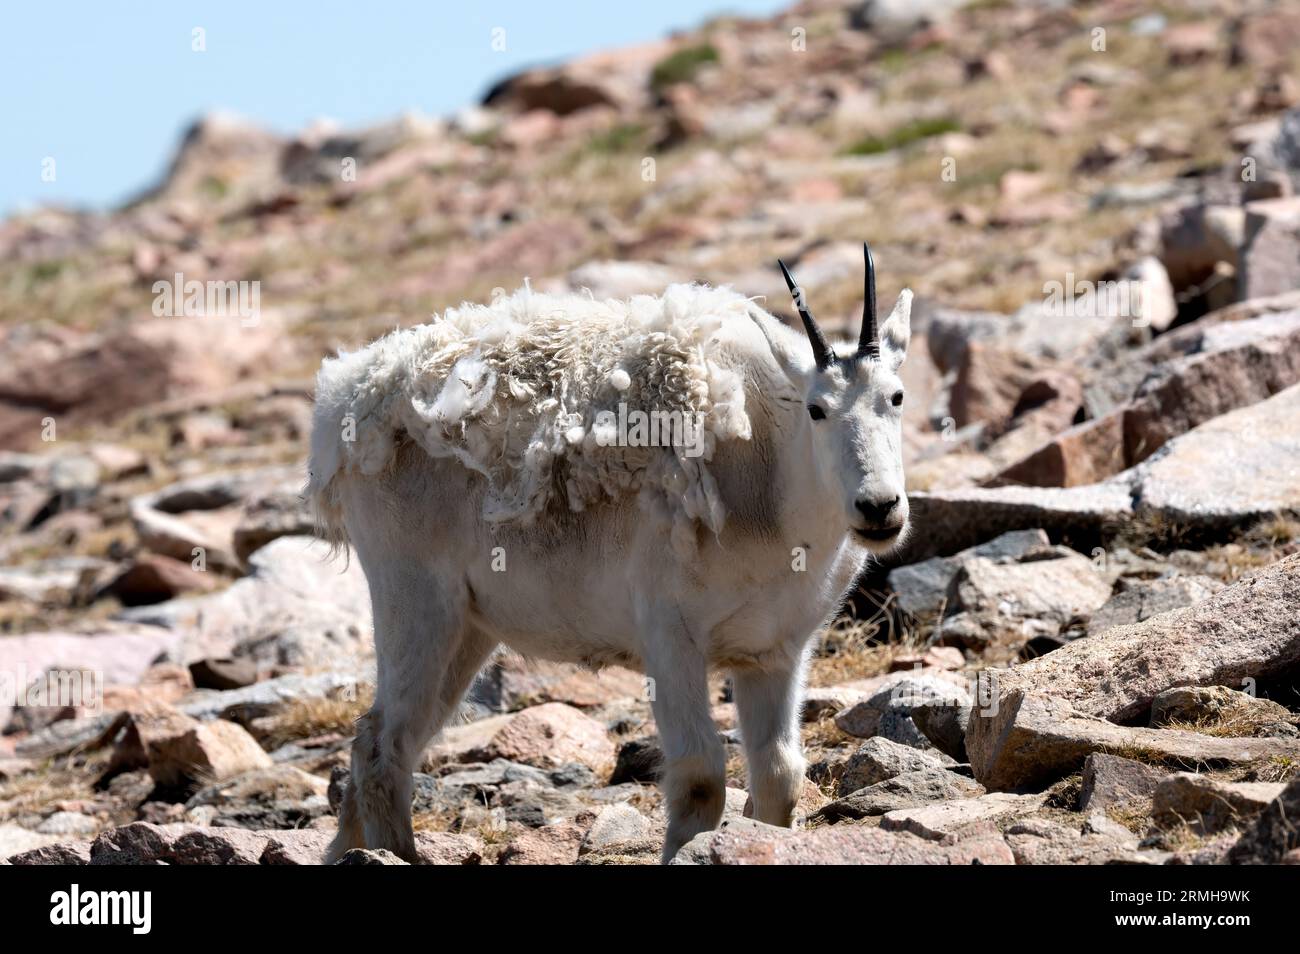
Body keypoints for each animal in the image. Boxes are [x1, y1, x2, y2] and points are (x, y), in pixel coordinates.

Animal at [308, 243, 909, 863]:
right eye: (816, 409)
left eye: (896, 396)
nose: (879, 507)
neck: (772, 481)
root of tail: (347, 405)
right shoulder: (670, 634)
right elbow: (700, 777)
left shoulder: (774, 652)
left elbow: (779, 775)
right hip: (414, 599)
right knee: (383, 744)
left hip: (467, 626)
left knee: (384, 737)